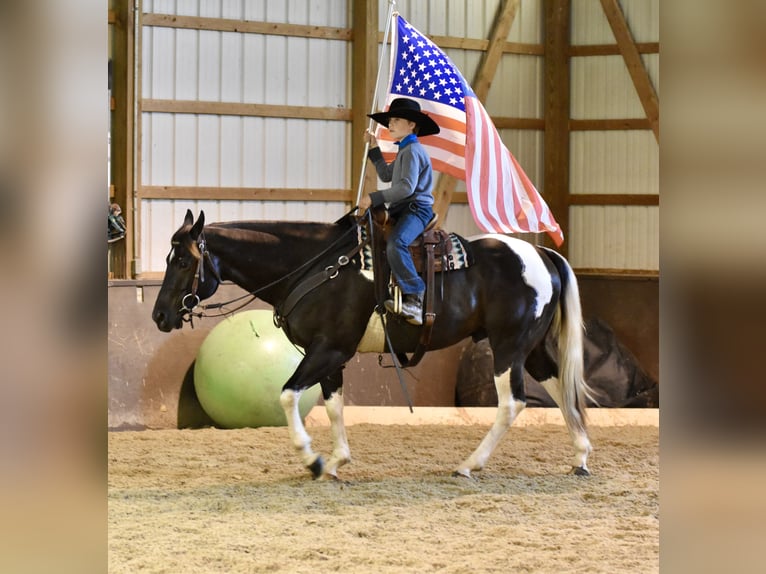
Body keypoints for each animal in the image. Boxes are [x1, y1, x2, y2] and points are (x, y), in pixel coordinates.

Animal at [152, 209, 594, 479]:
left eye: (184, 261)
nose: (159, 315)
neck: (316, 265)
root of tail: (541, 252)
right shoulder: (330, 357)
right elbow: (333, 406)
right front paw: (335, 462)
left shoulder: (328, 350)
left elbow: (287, 395)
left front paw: (312, 459)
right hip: (529, 349)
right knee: (561, 389)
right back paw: (580, 457)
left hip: (508, 348)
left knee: (512, 403)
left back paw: (469, 464)